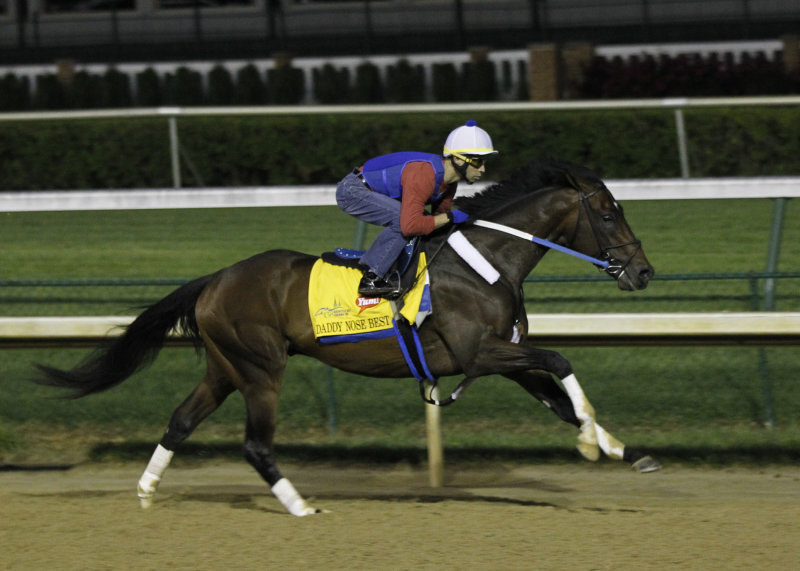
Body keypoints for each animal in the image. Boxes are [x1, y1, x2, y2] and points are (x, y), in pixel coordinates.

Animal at [36, 159, 656, 516]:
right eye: (607, 213)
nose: (644, 272)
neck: (485, 261)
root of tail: (215, 279)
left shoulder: (504, 358)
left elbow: (559, 395)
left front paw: (620, 449)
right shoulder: (480, 352)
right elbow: (559, 357)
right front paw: (596, 442)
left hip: (225, 367)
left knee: (180, 422)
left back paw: (146, 489)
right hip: (261, 368)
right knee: (255, 444)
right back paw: (300, 507)